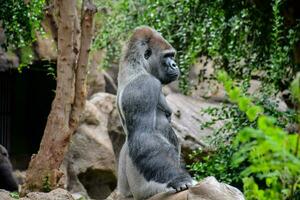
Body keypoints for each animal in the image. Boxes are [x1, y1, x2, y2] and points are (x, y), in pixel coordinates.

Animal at [116, 26, 193, 200]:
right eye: (167, 56)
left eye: (172, 55)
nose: (174, 65)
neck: (136, 66)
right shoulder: (144, 86)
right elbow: (144, 136)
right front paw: (179, 178)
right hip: (147, 191)